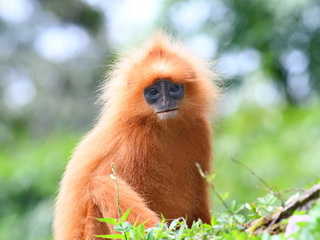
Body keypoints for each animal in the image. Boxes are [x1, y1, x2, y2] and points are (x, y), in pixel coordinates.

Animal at [53, 31, 220, 240]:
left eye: (173, 89)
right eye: (153, 92)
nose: (165, 102)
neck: (162, 127)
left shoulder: (199, 128)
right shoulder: (133, 139)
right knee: (101, 184)